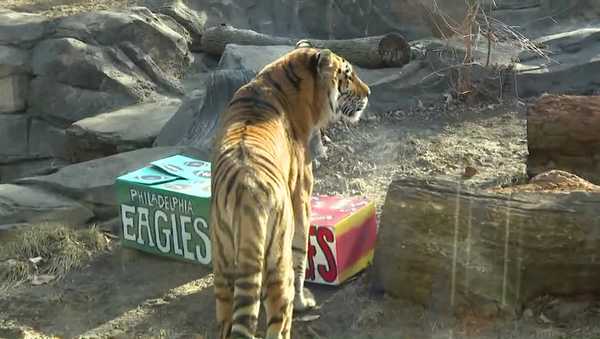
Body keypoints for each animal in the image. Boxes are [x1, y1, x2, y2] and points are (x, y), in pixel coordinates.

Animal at [211, 42, 370, 339]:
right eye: (348, 75)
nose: (368, 92)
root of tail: (247, 193)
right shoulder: (302, 192)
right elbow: (301, 251)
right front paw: (303, 301)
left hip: (223, 260)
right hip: (275, 257)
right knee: (279, 316)